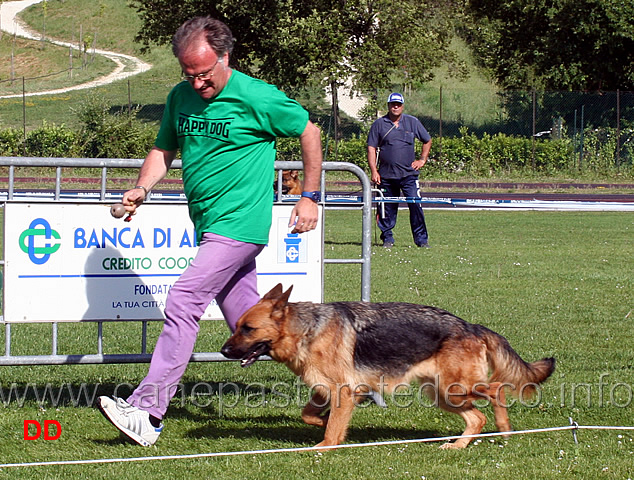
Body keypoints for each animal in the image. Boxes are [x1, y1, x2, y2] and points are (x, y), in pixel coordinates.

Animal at [221, 284, 552, 448]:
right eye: (237, 326)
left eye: (248, 329)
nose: (224, 351)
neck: (306, 330)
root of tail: (471, 326)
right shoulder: (326, 390)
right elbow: (311, 416)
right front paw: (327, 424)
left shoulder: (342, 391)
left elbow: (330, 429)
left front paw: (325, 447)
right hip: (443, 395)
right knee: (476, 418)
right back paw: (458, 446)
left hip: (454, 389)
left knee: (496, 390)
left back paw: (504, 428)